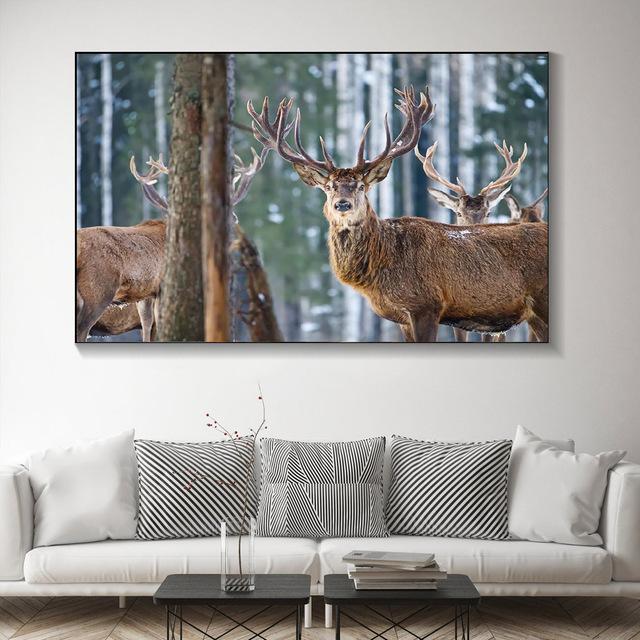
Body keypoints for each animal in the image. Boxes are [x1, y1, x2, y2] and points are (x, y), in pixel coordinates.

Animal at [77, 147, 273, 342]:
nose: (232, 220)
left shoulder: (145, 293)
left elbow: (147, 325)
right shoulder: (163, 285)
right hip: (98, 289)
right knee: (82, 329)